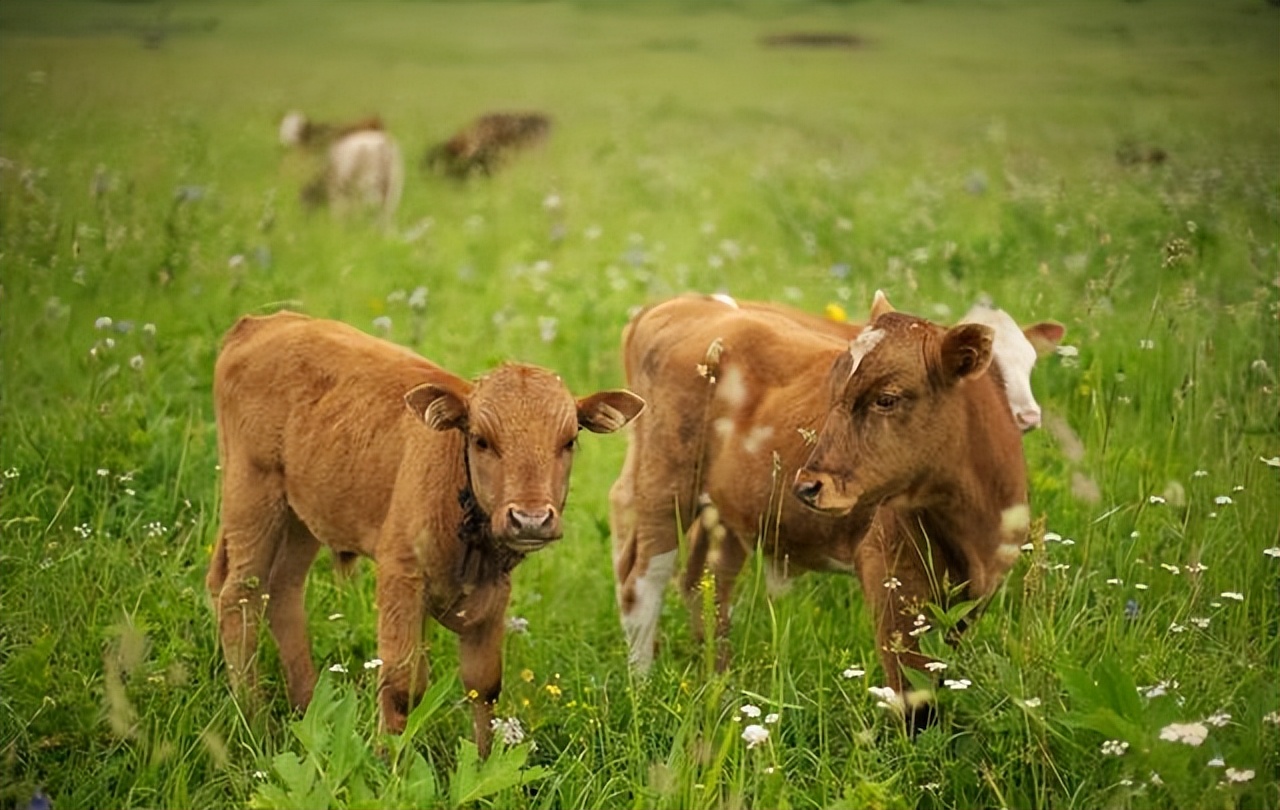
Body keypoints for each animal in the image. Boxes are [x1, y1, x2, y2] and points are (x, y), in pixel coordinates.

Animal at [212, 309, 650, 752]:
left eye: (570, 440)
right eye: (481, 440)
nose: (530, 519)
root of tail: (264, 322)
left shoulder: (493, 595)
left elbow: (483, 685)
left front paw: (483, 760)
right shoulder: (401, 577)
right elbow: (402, 686)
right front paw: (388, 761)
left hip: (302, 517)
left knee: (283, 592)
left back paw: (305, 707)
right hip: (253, 497)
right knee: (239, 596)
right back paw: (254, 720)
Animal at [614, 294, 1054, 721]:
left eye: (886, 398)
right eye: (834, 390)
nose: (809, 485)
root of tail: (673, 306)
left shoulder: (979, 588)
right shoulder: (889, 574)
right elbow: (909, 686)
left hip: (725, 510)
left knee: (707, 586)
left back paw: (723, 689)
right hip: (665, 485)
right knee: (643, 584)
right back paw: (642, 686)